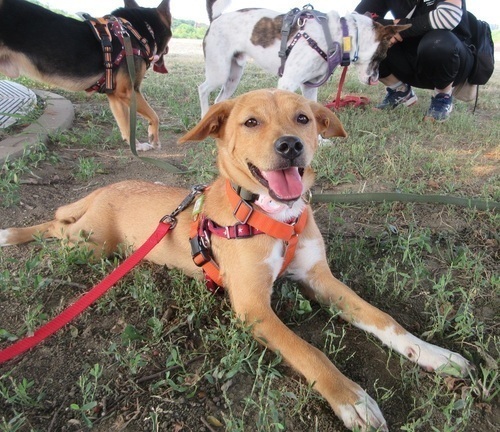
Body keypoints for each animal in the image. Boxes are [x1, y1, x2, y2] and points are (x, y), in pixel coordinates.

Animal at [0, 0, 172, 150]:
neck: (132, 32)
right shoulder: (129, 91)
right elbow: (154, 116)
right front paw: (154, 140)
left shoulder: (115, 96)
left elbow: (126, 127)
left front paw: (137, 146)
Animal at [0, 89, 470, 431]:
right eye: (251, 122)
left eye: (303, 119)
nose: (290, 145)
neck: (273, 217)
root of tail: (108, 188)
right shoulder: (252, 306)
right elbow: (309, 351)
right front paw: (350, 398)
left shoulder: (320, 278)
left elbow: (381, 318)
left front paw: (433, 354)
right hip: (88, 243)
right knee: (55, 226)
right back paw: (13, 234)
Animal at [199, 0, 410, 116]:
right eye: (382, 56)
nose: (375, 79)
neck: (339, 35)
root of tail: (216, 18)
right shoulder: (287, 83)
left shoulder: (310, 84)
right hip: (219, 72)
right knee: (202, 89)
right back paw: (204, 116)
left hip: (233, 76)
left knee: (219, 99)